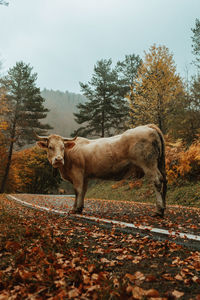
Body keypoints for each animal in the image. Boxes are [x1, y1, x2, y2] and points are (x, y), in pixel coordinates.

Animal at [36, 124, 167, 218]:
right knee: (163, 180)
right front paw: (79, 208)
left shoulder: (77, 173)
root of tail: (148, 126)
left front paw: (74, 209)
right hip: (159, 164)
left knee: (157, 181)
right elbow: (83, 191)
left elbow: (77, 191)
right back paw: (163, 208)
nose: (58, 159)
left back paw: (158, 210)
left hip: (148, 164)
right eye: (50, 147)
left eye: (63, 147)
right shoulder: (85, 176)